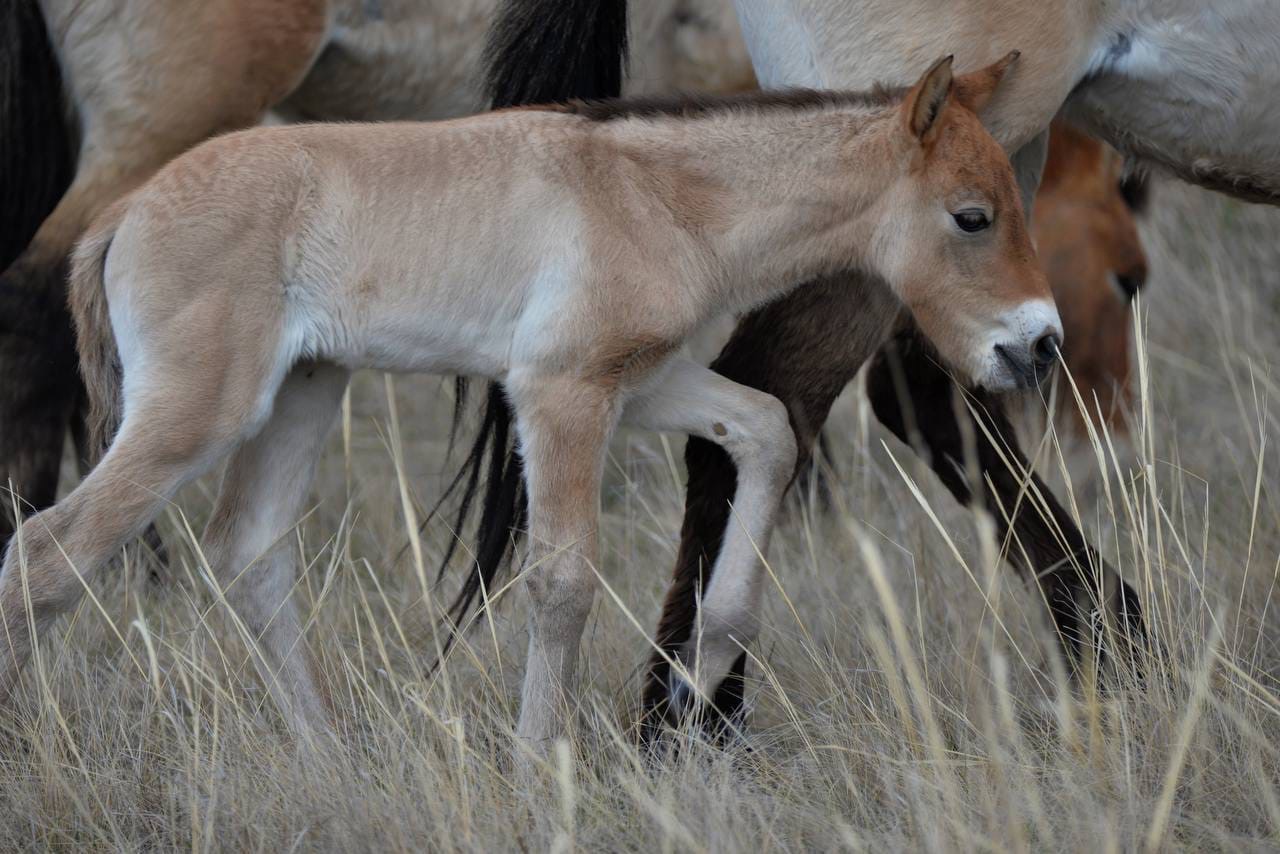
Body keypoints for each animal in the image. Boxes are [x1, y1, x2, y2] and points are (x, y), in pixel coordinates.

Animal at [2, 56, 1059, 742]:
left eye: (1018, 205)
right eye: (972, 217)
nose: (1038, 346)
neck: (656, 196)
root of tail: (124, 212)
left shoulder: (646, 382)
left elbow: (766, 435)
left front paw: (703, 671)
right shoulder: (561, 392)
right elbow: (562, 582)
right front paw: (539, 764)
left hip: (302, 392)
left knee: (249, 555)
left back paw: (325, 753)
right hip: (197, 415)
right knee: (47, 553)